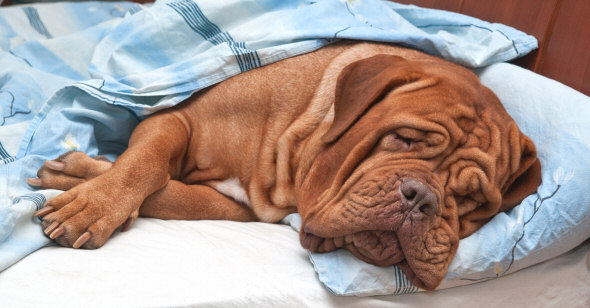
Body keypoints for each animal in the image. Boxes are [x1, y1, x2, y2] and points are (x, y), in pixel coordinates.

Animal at [30, 41, 544, 292]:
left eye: (473, 198)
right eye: (403, 138)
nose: (422, 199)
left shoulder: (241, 207)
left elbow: (177, 196)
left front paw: (80, 177)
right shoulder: (174, 116)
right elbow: (146, 162)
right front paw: (93, 201)